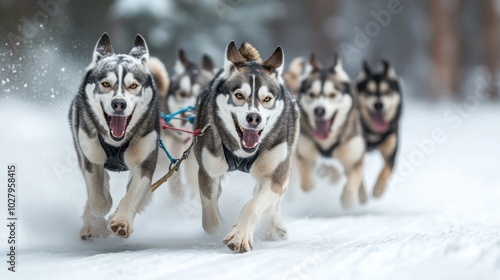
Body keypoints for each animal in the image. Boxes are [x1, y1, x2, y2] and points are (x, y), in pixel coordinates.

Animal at [68, 32, 162, 238]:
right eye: (105, 84)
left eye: (133, 85)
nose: (119, 103)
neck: (116, 143)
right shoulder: (90, 159)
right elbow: (98, 200)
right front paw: (102, 212)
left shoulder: (145, 163)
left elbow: (132, 195)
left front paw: (121, 220)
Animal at [193, 42, 298, 254]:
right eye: (239, 95)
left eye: (267, 99)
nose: (254, 118)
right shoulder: (208, 172)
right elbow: (210, 219)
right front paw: (220, 226)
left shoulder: (275, 177)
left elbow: (253, 205)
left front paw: (240, 236)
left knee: (274, 202)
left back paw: (275, 227)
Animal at [292, 54, 368, 208]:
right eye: (312, 94)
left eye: (332, 95)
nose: (319, 110)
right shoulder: (304, 154)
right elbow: (307, 184)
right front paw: (315, 179)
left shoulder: (354, 157)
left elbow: (351, 186)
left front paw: (348, 200)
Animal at [356, 60, 402, 198]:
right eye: (368, 92)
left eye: (387, 91)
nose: (378, 105)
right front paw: (362, 194)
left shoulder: (391, 153)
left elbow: (386, 169)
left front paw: (379, 189)